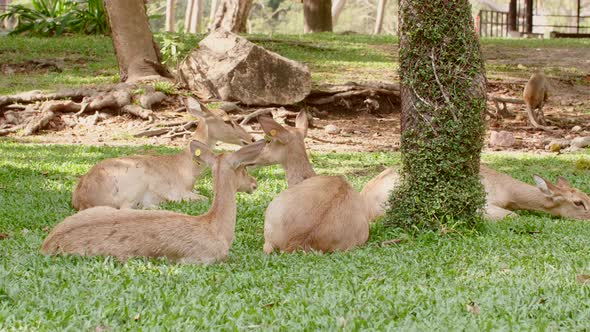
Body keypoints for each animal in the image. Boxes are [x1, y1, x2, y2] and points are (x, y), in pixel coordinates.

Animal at [71, 96, 254, 210]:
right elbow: (204, 198)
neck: (185, 168)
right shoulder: (177, 191)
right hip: (135, 184)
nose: (250, 138)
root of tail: (82, 199)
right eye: (227, 121)